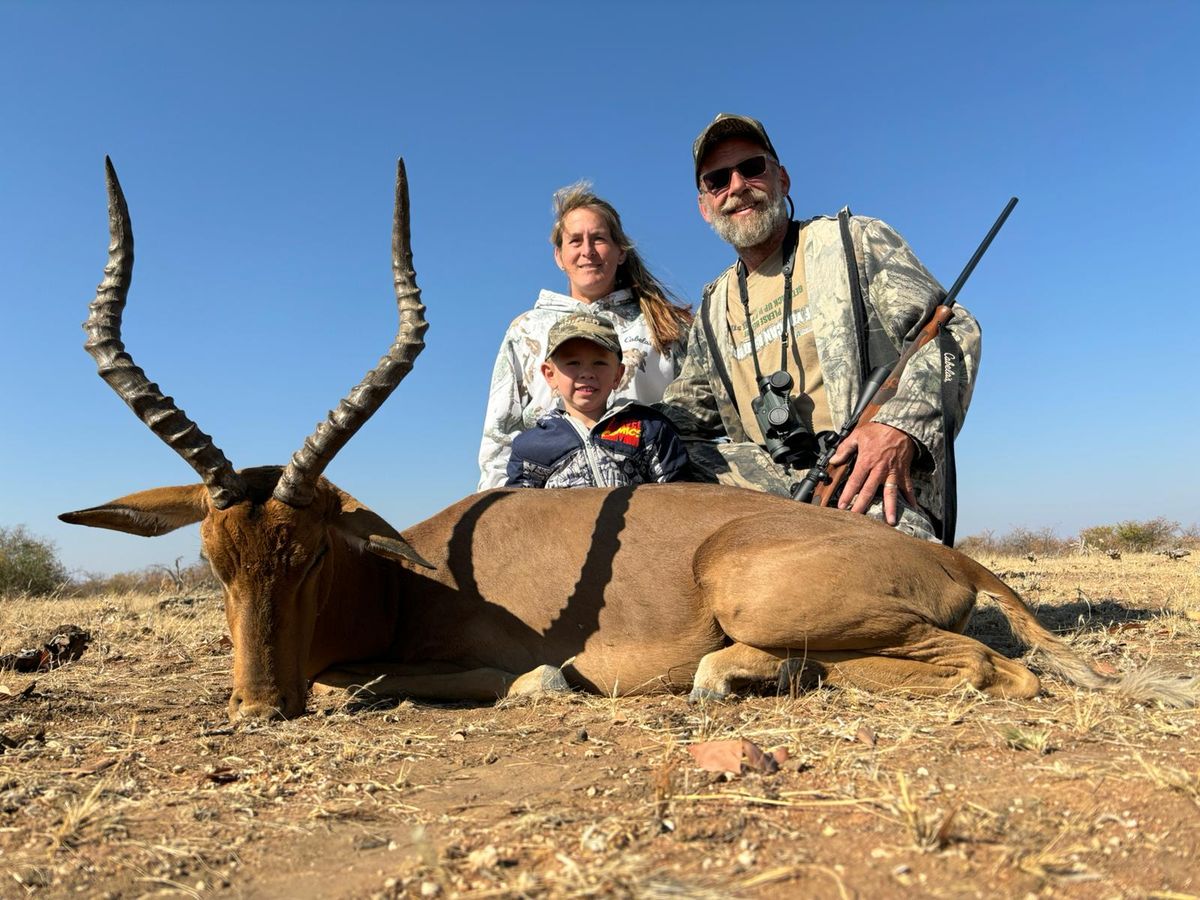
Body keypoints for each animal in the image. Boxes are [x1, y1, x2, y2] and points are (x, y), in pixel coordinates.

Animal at [61, 160, 1196, 720]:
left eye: (305, 554)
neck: (407, 571)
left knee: (991, 668)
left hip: (766, 590)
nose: (258, 707)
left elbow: (398, 684)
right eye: (217, 560)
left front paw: (547, 685)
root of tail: (950, 558)